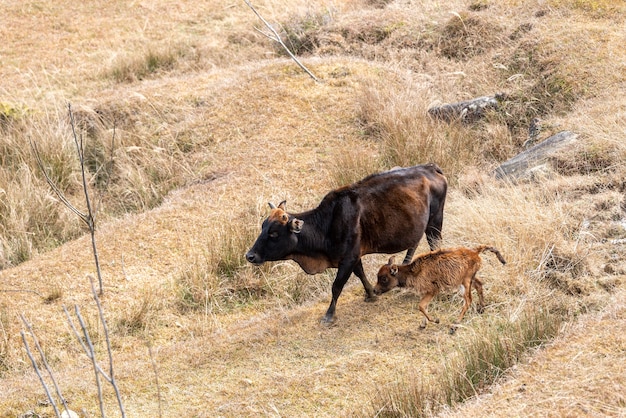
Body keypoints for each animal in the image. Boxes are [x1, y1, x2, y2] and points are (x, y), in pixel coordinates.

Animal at [246, 163, 446, 324]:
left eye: (273, 234)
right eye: (262, 227)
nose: (250, 256)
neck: (327, 224)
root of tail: (430, 167)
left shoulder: (348, 258)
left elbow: (336, 286)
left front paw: (329, 315)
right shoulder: (354, 257)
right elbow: (361, 274)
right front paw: (371, 295)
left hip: (435, 223)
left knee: (435, 245)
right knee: (414, 244)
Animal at [372, 245, 504, 334]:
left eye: (384, 278)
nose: (374, 290)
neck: (414, 271)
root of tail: (475, 252)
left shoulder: (432, 291)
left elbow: (421, 306)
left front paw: (436, 320)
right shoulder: (426, 292)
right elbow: (423, 306)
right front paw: (423, 325)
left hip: (465, 282)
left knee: (468, 300)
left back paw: (454, 326)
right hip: (470, 279)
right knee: (479, 285)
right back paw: (481, 309)